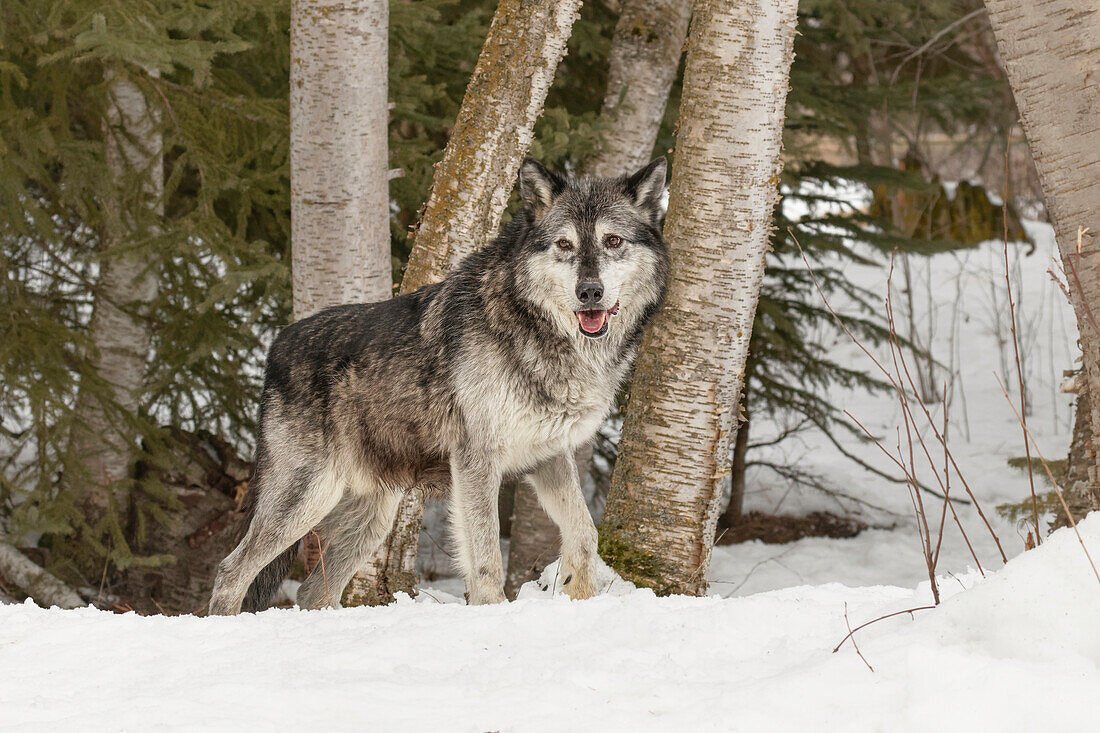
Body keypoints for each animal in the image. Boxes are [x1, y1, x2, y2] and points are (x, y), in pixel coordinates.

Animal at [206, 155, 668, 611]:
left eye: (613, 241)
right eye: (564, 245)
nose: (589, 292)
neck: (536, 329)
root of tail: (277, 343)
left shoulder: (550, 455)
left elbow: (586, 534)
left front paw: (577, 591)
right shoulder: (476, 461)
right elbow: (486, 561)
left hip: (371, 518)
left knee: (310, 591)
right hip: (308, 497)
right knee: (231, 572)